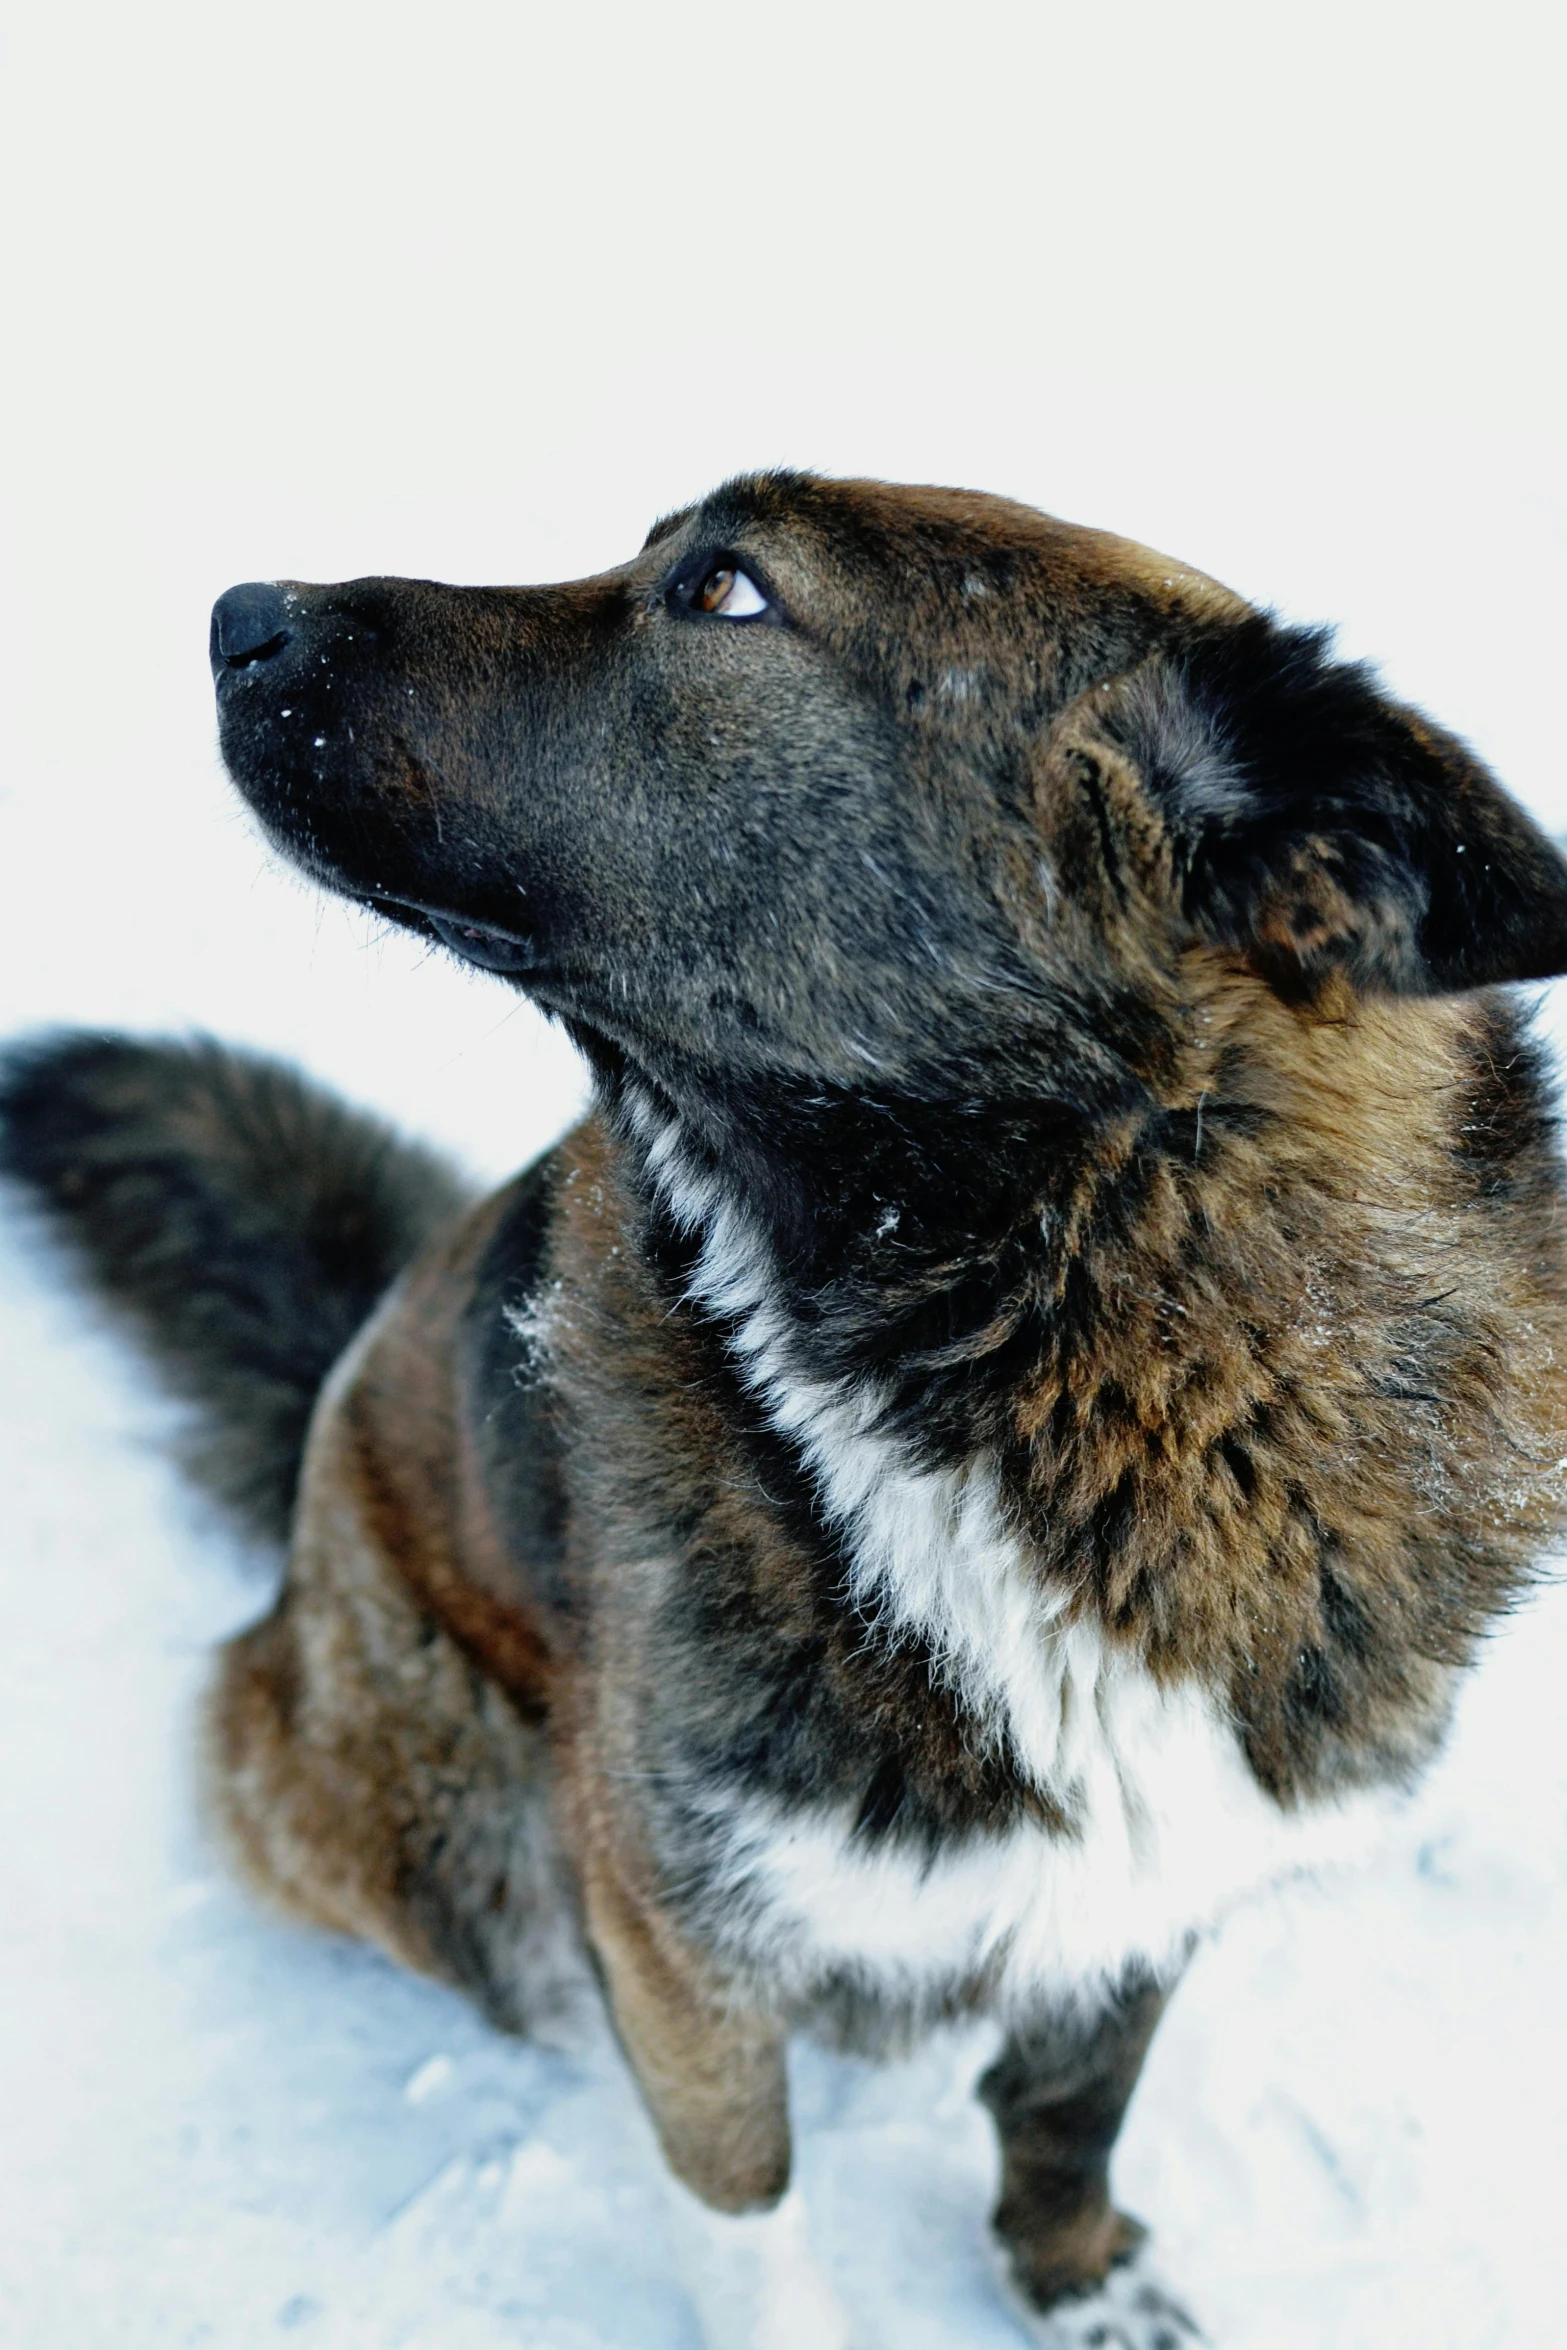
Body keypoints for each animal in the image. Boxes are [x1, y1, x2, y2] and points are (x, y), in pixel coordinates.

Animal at [3, 467, 1567, 2340]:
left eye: (724, 590)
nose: (241, 614)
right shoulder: (678, 1927)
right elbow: (748, 2217)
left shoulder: (1161, 1883)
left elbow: (1072, 2105)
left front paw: (1070, 2278)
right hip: (463, 1827)